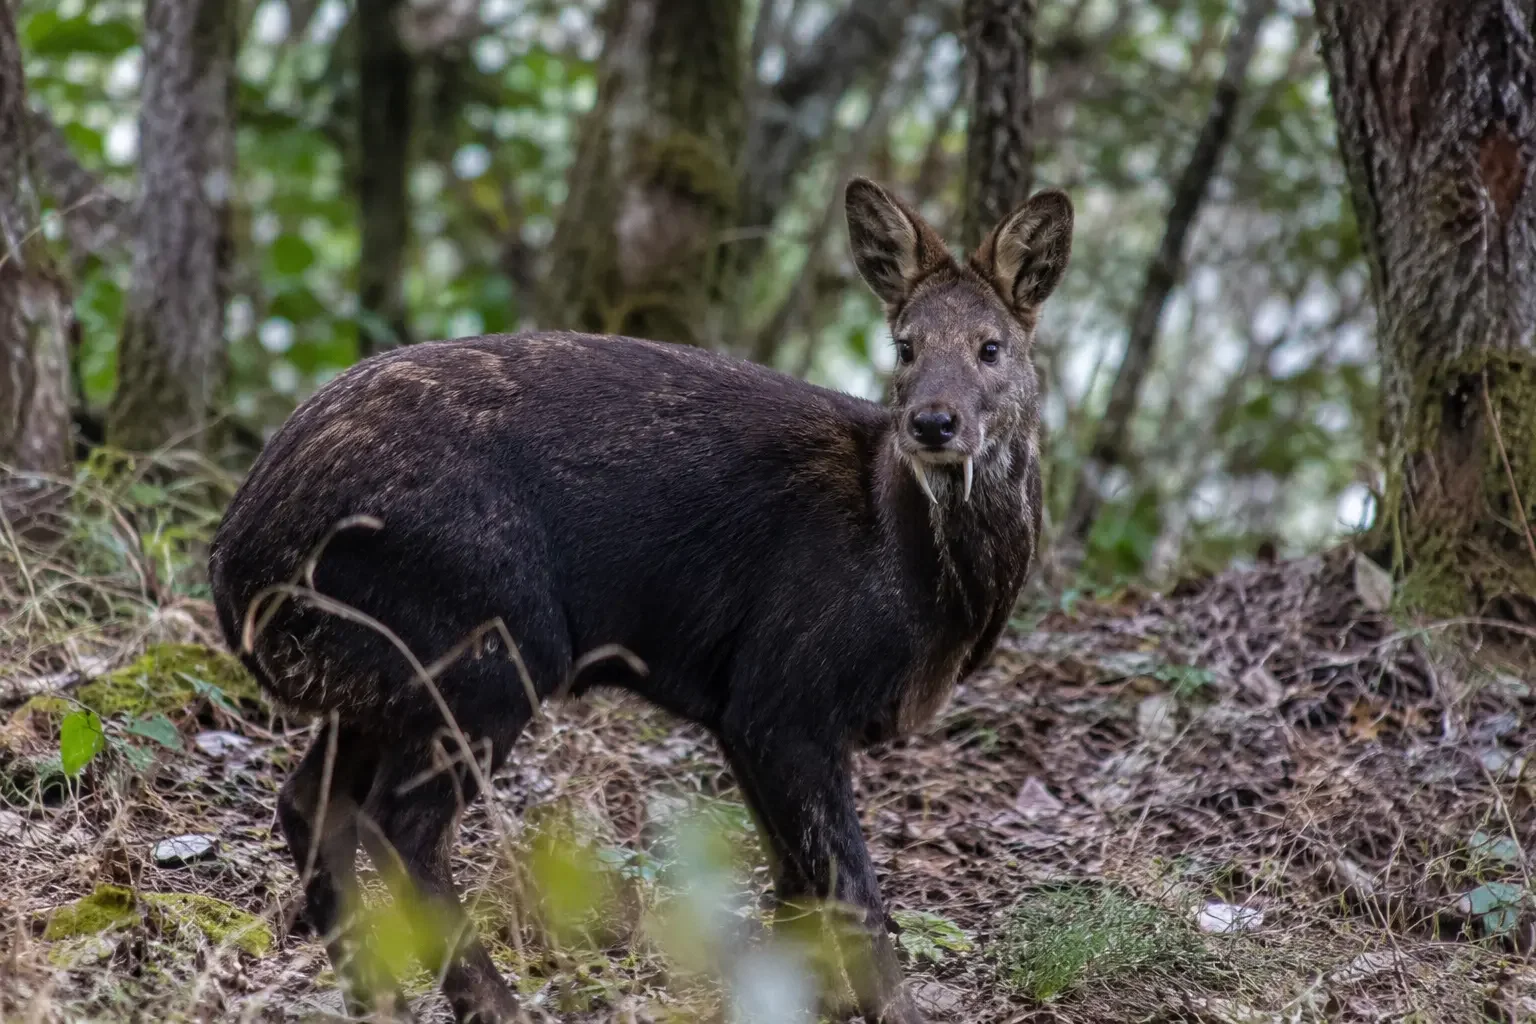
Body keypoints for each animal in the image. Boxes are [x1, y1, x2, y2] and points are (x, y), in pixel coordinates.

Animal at [209, 177, 1072, 1024]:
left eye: (991, 347)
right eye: (905, 345)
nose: (932, 422)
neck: (926, 592)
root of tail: (236, 565)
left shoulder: (738, 713)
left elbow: (796, 892)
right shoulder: (787, 689)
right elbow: (852, 892)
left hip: (382, 671)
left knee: (310, 800)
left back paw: (377, 996)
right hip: (483, 641)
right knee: (402, 824)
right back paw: (497, 1006)